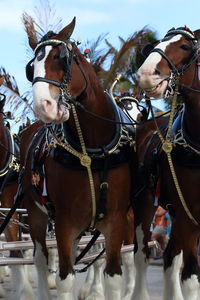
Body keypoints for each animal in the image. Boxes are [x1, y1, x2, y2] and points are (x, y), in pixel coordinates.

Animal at [20, 17, 136, 298]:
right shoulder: (64, 221)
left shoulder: (116, 220)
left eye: (62, 58)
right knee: (40, 258)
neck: (91, 150)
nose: (44, 107)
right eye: (31, 68)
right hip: (36, 213)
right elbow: (64, 279)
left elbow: (113, 276)